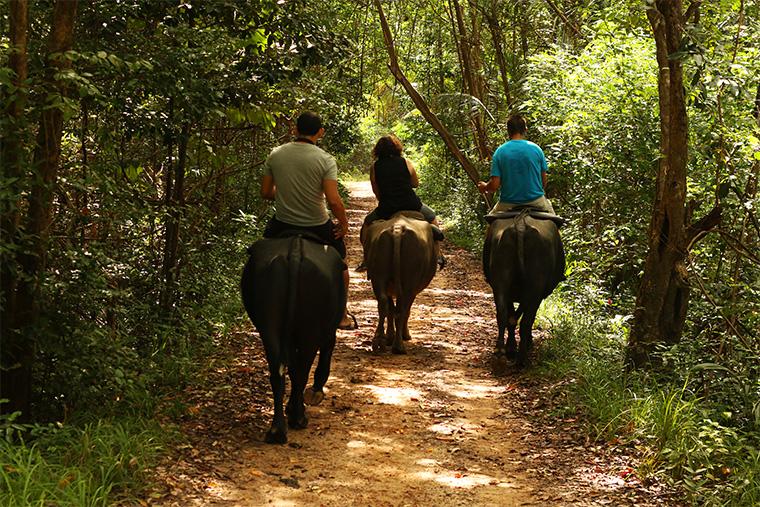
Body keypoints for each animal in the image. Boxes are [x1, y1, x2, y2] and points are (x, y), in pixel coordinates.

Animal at [240, 234, 344, 444]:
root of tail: (295, 252)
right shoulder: (328, 329)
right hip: (311, 326)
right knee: (302, 370)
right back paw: (298, 417)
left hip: (268, 316)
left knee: (278, 371)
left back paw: (277, 430)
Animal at [364, 210, 440, 354]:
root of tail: (398, 229)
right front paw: (403, 335)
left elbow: (390, 309)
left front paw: (389, 337)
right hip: (409, 280)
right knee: (402, 308)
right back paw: (398, 346)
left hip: (378, 275)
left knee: (383, 303)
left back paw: (379, 342)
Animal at [480, 211, 564, 370]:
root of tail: (521, 225)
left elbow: (512, 316)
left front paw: (511, 347)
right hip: (535, 286)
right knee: (526, 321)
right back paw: (521, 358)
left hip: (501, 280)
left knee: (502, 314)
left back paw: (500, 352)